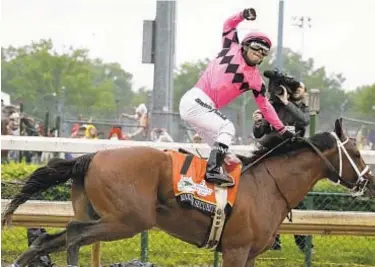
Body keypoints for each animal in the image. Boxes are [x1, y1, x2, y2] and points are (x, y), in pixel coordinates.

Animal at [1, 120, 374, 267]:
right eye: (356, 153)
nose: (368, 181)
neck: (268, 185)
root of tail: (90, 157)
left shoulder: (249, 254)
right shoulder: (236, 250)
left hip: (100, 214)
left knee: (46, 239)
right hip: (127, 220)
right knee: (74, 234)